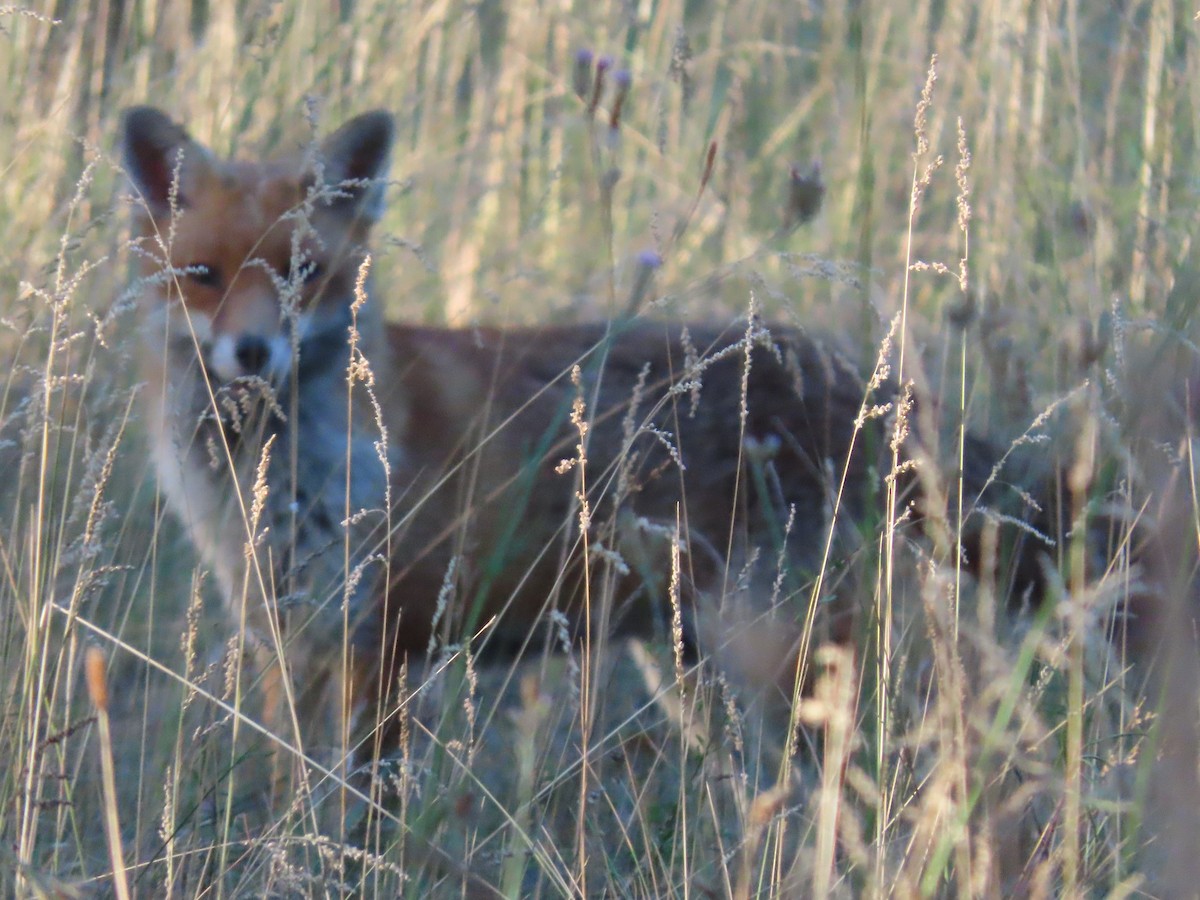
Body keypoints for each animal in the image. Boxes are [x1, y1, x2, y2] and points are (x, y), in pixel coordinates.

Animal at [121, 107, 1028, 770]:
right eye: (201, 276)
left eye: (304, 273)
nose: (251, 353)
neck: (276, 474)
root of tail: (845, 373)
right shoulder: (292, 642)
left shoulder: (377, 644)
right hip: (696, 663)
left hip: (774, 659)